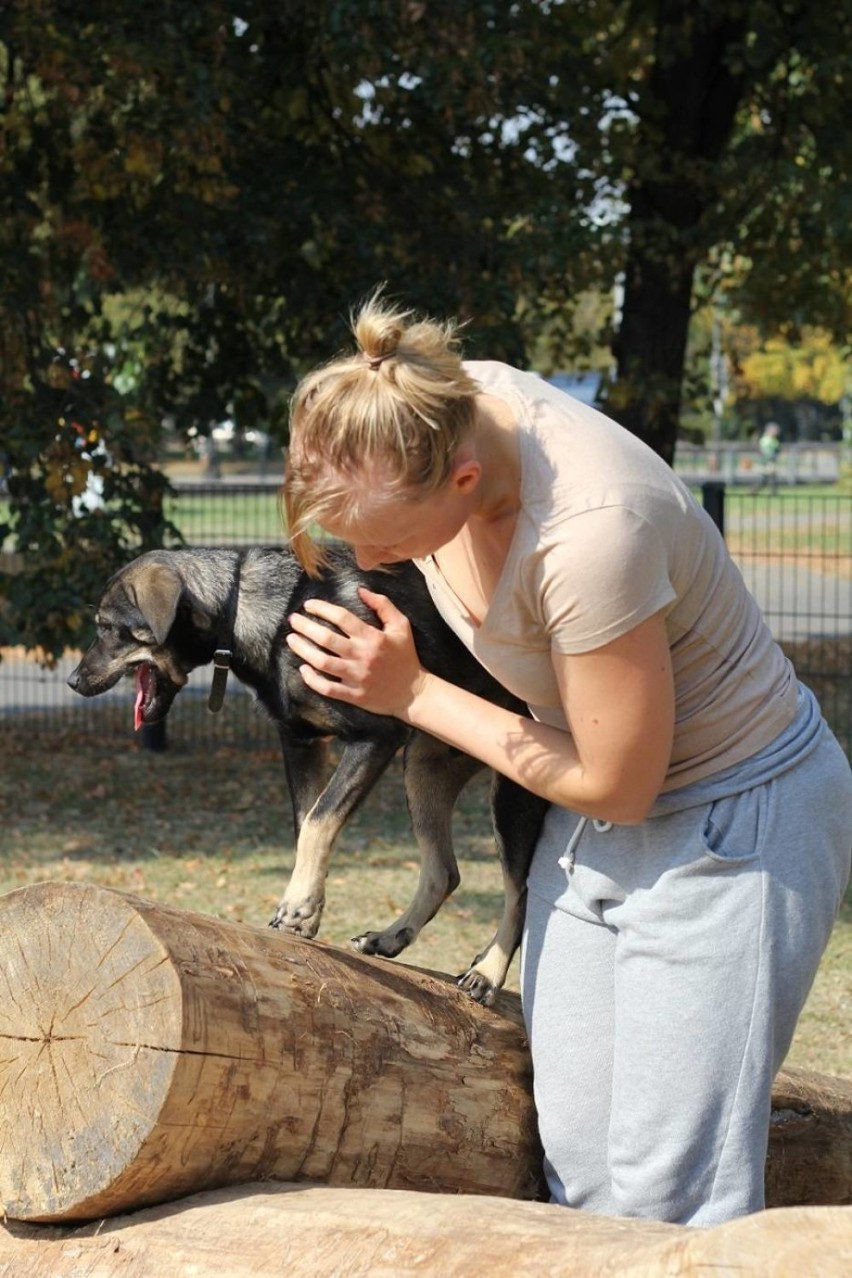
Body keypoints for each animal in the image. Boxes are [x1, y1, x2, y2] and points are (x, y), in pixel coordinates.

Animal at [66, 544, 546, 1001]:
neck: (258, 613)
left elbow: (319, 821)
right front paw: (307, 912)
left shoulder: (374, 738)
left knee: (520, 891)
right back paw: (390, 938)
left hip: (512, 790)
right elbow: (308, 826)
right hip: (425, 764)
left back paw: (488, 972)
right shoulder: (301, 743)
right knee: (443, 871)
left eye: (108, 628)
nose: (72, 681)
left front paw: (297, 905)